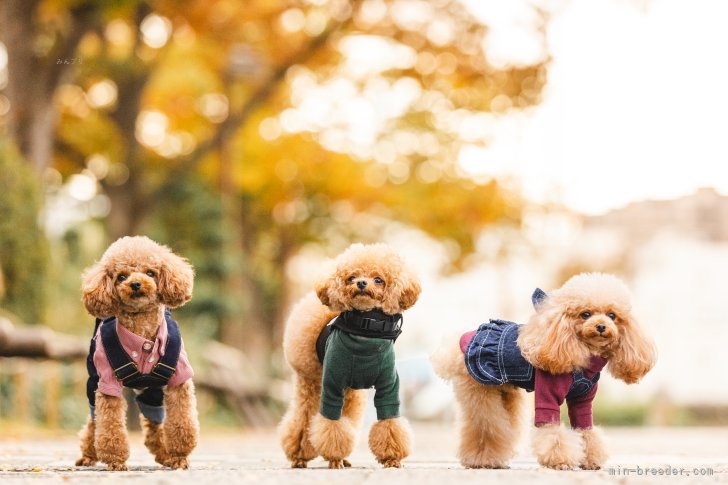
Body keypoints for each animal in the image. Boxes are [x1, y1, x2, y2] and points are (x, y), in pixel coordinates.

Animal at [75, 236, 199, 470]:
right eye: (121, 276)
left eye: (150, 272)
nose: (135, 284)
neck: (141, 329)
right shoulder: (107, 383)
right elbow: (109, 425)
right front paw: (115, 460)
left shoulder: (179, 378)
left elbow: (181, 421)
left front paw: (179, 455)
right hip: (93, 381)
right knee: (94, 420)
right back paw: (88, 455)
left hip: (153, 392)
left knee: (155, 421)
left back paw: (165, 454)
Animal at [280, 244, 420, 466]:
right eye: (351, 277)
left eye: (378, 279)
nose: (361, 283)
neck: (365, 332)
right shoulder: (332, 384)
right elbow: (331, 423)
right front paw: (334, 458)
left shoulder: (388, 387)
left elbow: (389, 421)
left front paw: (391, 459)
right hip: (310, 380)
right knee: (303, 418)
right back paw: (300, 457)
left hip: (351, 392)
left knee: (348, 418)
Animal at [430, 272, 656, 468]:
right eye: (585, 314)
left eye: (612, 315)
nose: (601, 326)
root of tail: (458, 345)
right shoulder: (548, 392)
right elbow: (551, 431)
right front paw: (560, 461)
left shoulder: (582, 400)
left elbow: (585, 428)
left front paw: (590, 459)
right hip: (480, 391)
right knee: (484, 425)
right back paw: (482, 461)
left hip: (506, 393)